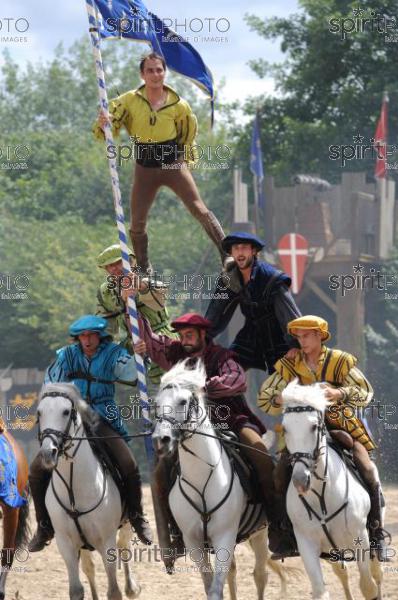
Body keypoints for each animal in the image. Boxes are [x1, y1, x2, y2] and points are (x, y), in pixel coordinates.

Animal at [36, 384, 141, 600]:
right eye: (39, 412)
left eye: (66, 411)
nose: (48, 453)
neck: (74, 489)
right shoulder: (66, 544)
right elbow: (76, 590)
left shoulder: (106, 542)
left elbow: (114, 591)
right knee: (89, 567)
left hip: (126, 523)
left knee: (124, 546)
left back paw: (132, 587)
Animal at [152, 360, 290, 600]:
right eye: (157, 404)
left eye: (183, 401)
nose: (162, 440)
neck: (202, 480)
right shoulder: (194, 541)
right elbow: (211, 586)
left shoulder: (224, 535)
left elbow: (217, 589)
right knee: (233, 573)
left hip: (260, 534)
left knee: (260, 575)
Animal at [282, 380, 384, 600]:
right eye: (285, 429)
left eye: (314, 426)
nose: (301, 480)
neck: (322, 495)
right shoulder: (307, 544)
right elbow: (320, 590)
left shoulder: (361, 539)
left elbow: (368, 586)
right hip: (331, 552)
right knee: (342, 573)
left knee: (376, 574)